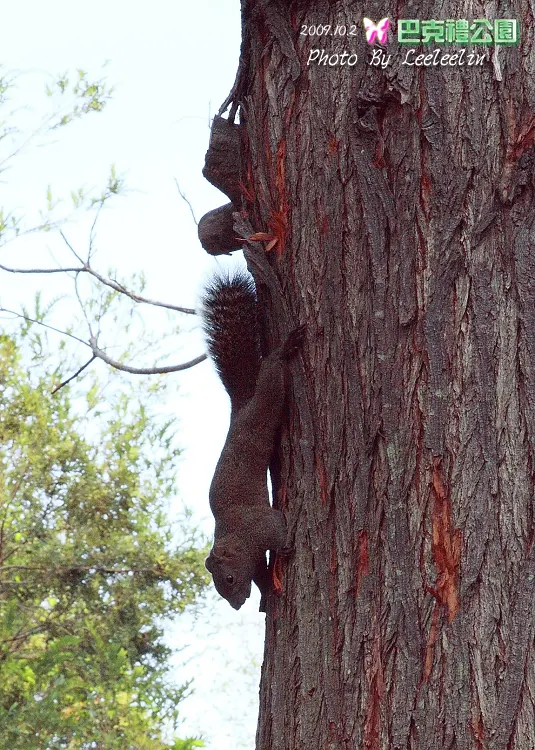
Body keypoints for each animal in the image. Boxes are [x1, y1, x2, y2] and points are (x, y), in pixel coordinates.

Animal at [201, 270, 304, 612]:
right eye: (220, 589)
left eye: (229, 579)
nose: (236, 605)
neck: (237, 538)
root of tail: (241, 406)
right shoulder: (255, 557)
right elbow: (261, 574)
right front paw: (265, 593)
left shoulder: (261, 525)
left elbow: (279, 529)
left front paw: (285, 547)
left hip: (262, 409)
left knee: (271, 376)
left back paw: (283, 350)